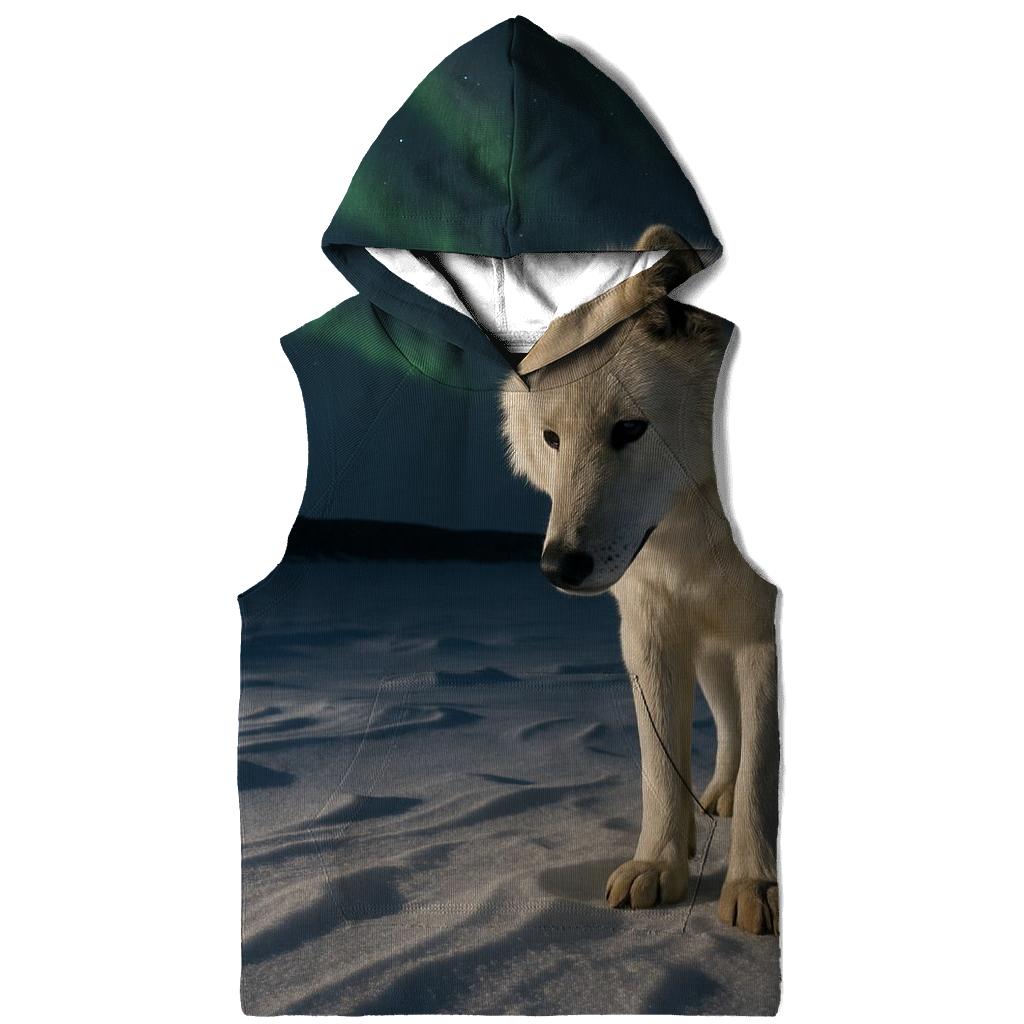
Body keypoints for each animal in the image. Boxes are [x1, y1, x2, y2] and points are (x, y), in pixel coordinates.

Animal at [500, 226, 780, 935]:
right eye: (552, 439)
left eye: (629, 428)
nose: (558, 566)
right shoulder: (651, 631)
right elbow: (660, 765)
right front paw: (659, 864)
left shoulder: (765, 636)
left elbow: (765, 765)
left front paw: (756, 885)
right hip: (708, 652)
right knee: (728, 727)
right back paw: (715, 798)